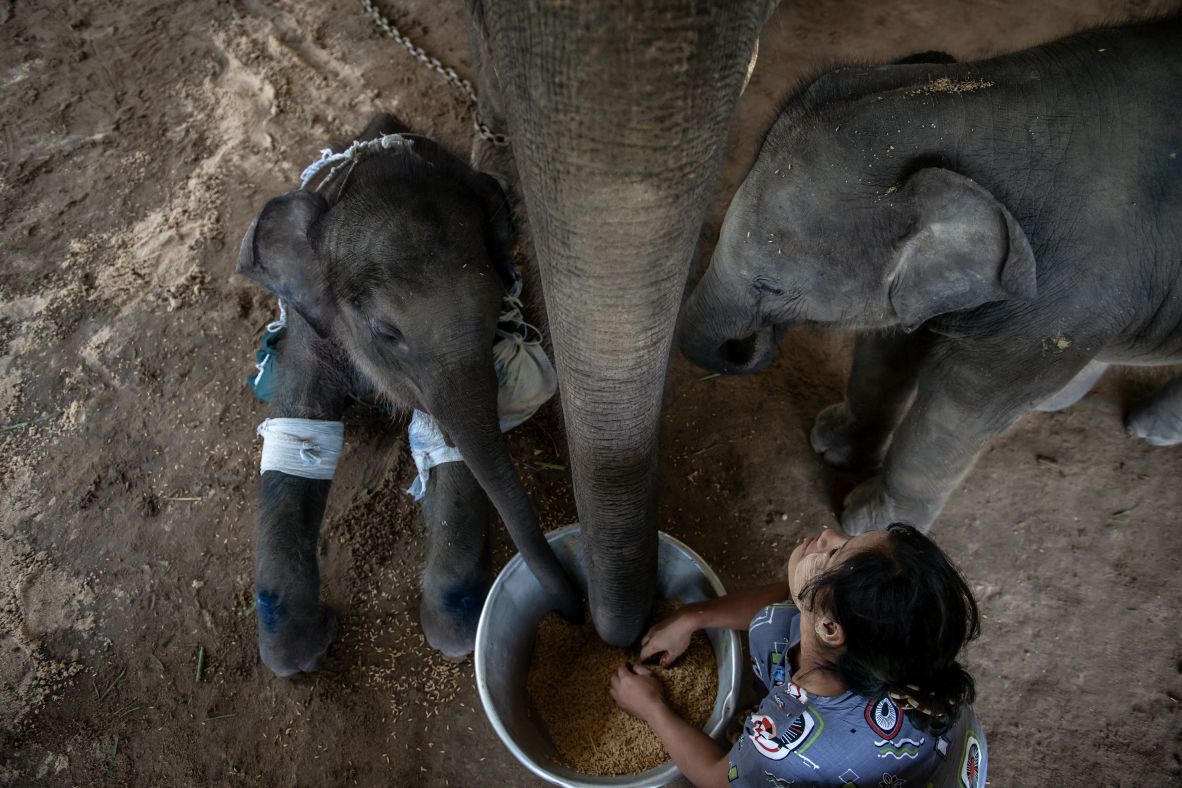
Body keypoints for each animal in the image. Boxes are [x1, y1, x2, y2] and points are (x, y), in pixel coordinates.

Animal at [237, 113, 579, 675]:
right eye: (386, 332)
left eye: (494, 312)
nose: (574, 613)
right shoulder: (311, 329)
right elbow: (300, 428)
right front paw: (295, 657)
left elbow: (448, 447)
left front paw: (456, 636)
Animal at [678, 19, 1182, 534]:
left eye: (771, 285)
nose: (744, 344)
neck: (981, 98)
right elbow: (889, 347)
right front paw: (830, 446)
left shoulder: (1063, 307)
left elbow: (961, 403)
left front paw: (870, 526)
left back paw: (1145, 431)